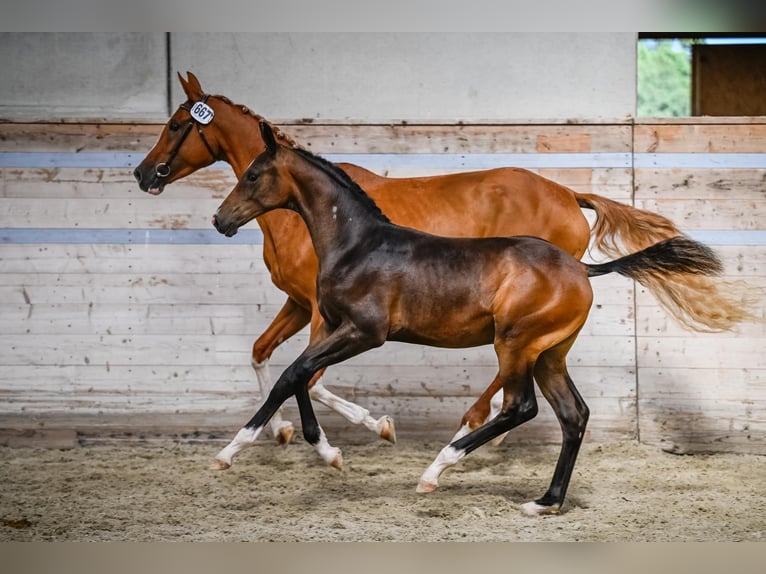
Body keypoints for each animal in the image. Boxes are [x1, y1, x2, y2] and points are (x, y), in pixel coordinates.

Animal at [134, 72, 756, 460]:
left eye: (176, 124)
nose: (143, 174)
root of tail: (569, 193)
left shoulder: (320, 312)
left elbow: (307, 374)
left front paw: (359, 432)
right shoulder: (300, 302)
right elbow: (268, 356)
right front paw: (287, 432)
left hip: (516, 325)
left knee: (512, 383)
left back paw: (473, 428)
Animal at [210, 122, 728, 516]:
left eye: (253, 174)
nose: (220, 220)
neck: (359, 244)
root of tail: (582, 268)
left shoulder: (363, 332)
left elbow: (293, 374)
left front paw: (230, 453)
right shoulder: (333, 327)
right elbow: (301, 376)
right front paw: (327, 450)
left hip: (515, 344)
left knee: (521, 407)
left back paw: (436, 469)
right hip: (549, 353)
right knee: (572, 414)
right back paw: (545, 501)